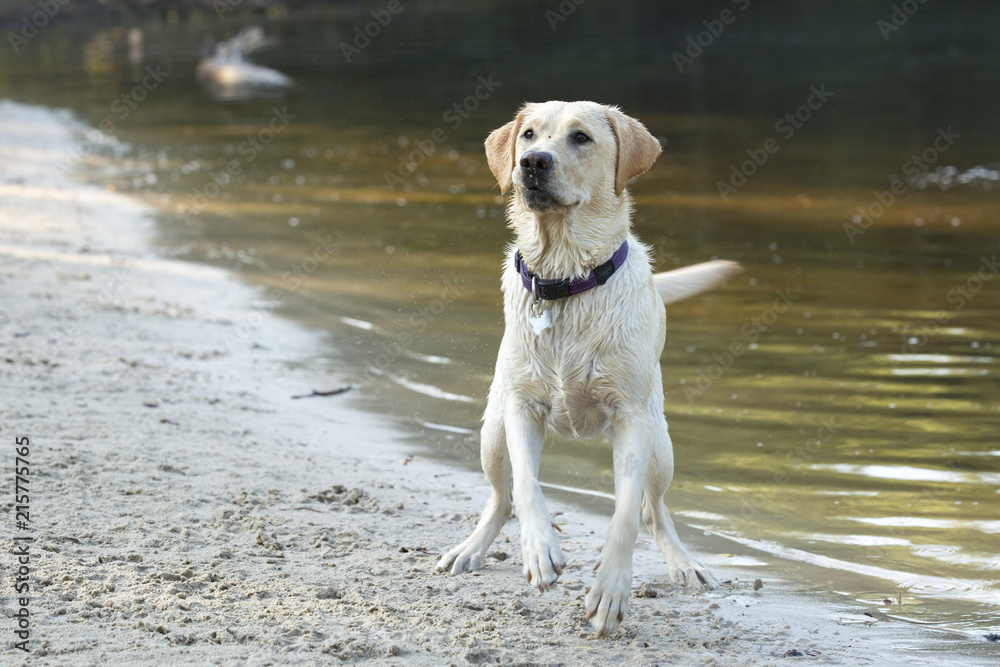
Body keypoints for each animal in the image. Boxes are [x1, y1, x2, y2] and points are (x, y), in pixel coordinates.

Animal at [438, 100, 744, 636]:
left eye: (581, 137)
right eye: (529, 134)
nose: (532, 162)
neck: (565, 279)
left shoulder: (632, 420)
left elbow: (624, 515)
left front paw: (610, 589)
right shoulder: (521, 407)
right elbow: (528, 486)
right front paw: (541, 549)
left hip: (662, 448)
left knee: (653, 510)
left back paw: (685, 563)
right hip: (492, 431)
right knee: (501, 498)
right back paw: (469, 549)